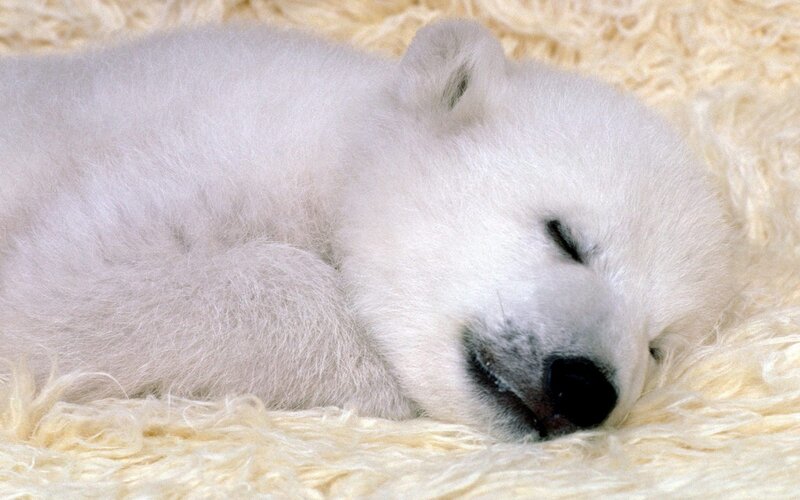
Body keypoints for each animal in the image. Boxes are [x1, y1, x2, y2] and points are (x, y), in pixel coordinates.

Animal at [0, 20, 734, 440]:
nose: (583, 387)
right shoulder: (204, 157)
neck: (341, 137)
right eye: (567, 236)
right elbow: (63, 285)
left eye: (658, 344)